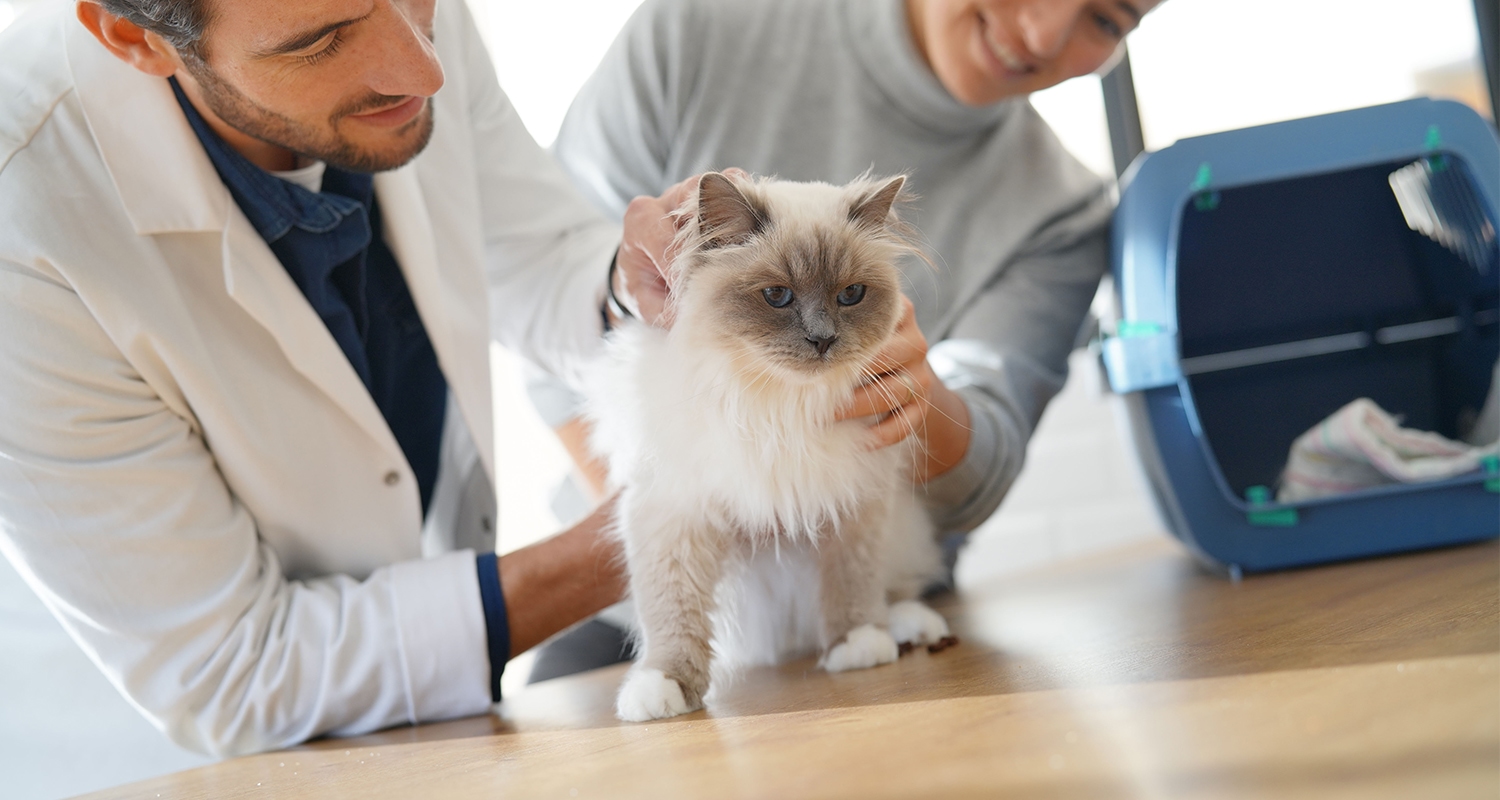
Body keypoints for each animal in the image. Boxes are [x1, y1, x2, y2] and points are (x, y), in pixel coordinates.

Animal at [588, 171, 948, 720]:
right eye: (777, 296)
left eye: (851, 294)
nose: (822, 340)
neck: (779, 404)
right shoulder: (674, 514)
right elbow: (671, 611)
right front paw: (661, 688)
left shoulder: (854, 494)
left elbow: (853, 580)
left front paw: (858, 644)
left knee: (894, 588)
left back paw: (908, 627)